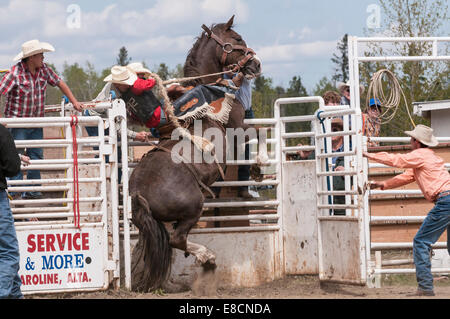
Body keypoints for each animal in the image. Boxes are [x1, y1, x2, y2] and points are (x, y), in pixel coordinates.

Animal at [128, 16, 262, 292]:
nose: (256, 63)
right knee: (177, 239)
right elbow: (256, 133)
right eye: (238, 39)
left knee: (168, 242)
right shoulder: (237, 126)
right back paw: (207, 258)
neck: (208, 90)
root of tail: (138, 193)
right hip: (193, 207)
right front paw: (259, 165)